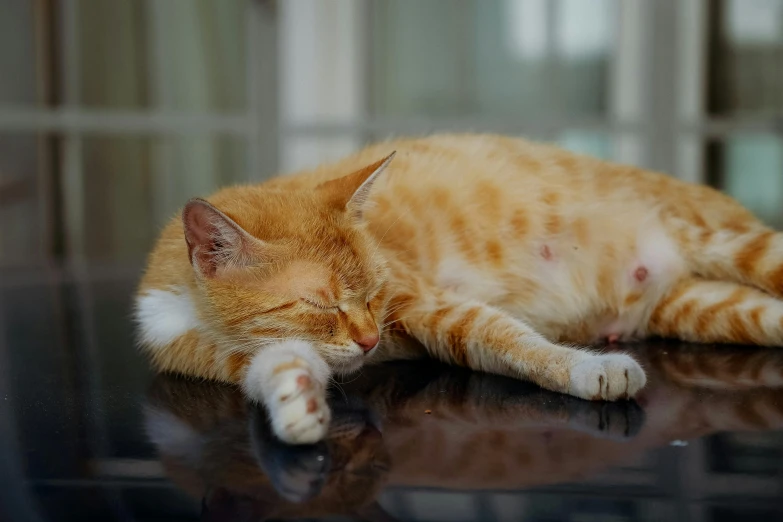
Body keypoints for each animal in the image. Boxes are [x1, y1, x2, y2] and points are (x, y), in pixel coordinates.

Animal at [135, 132, 783, 440]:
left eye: (374, 291)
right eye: (321, 303)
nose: (371, 342)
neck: (191, 310)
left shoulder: (428, 305)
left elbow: (512, 341)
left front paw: (590, 369)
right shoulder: (243, 357)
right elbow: (281, 367)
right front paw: (299, 404)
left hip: (734, 245)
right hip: (708, 308)